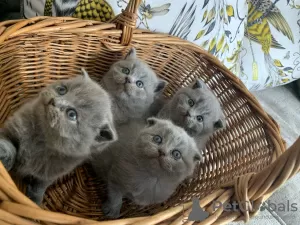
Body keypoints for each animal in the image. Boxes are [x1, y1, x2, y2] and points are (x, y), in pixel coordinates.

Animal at [0, 69, 117, 205]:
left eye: (72, 114)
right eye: (62, 90)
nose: (54, 101)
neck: (42, 139)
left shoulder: (50, 174)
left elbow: (40, 187)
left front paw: (35, 202)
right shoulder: (12, 128)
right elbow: (9, 145)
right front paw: (5, 157)